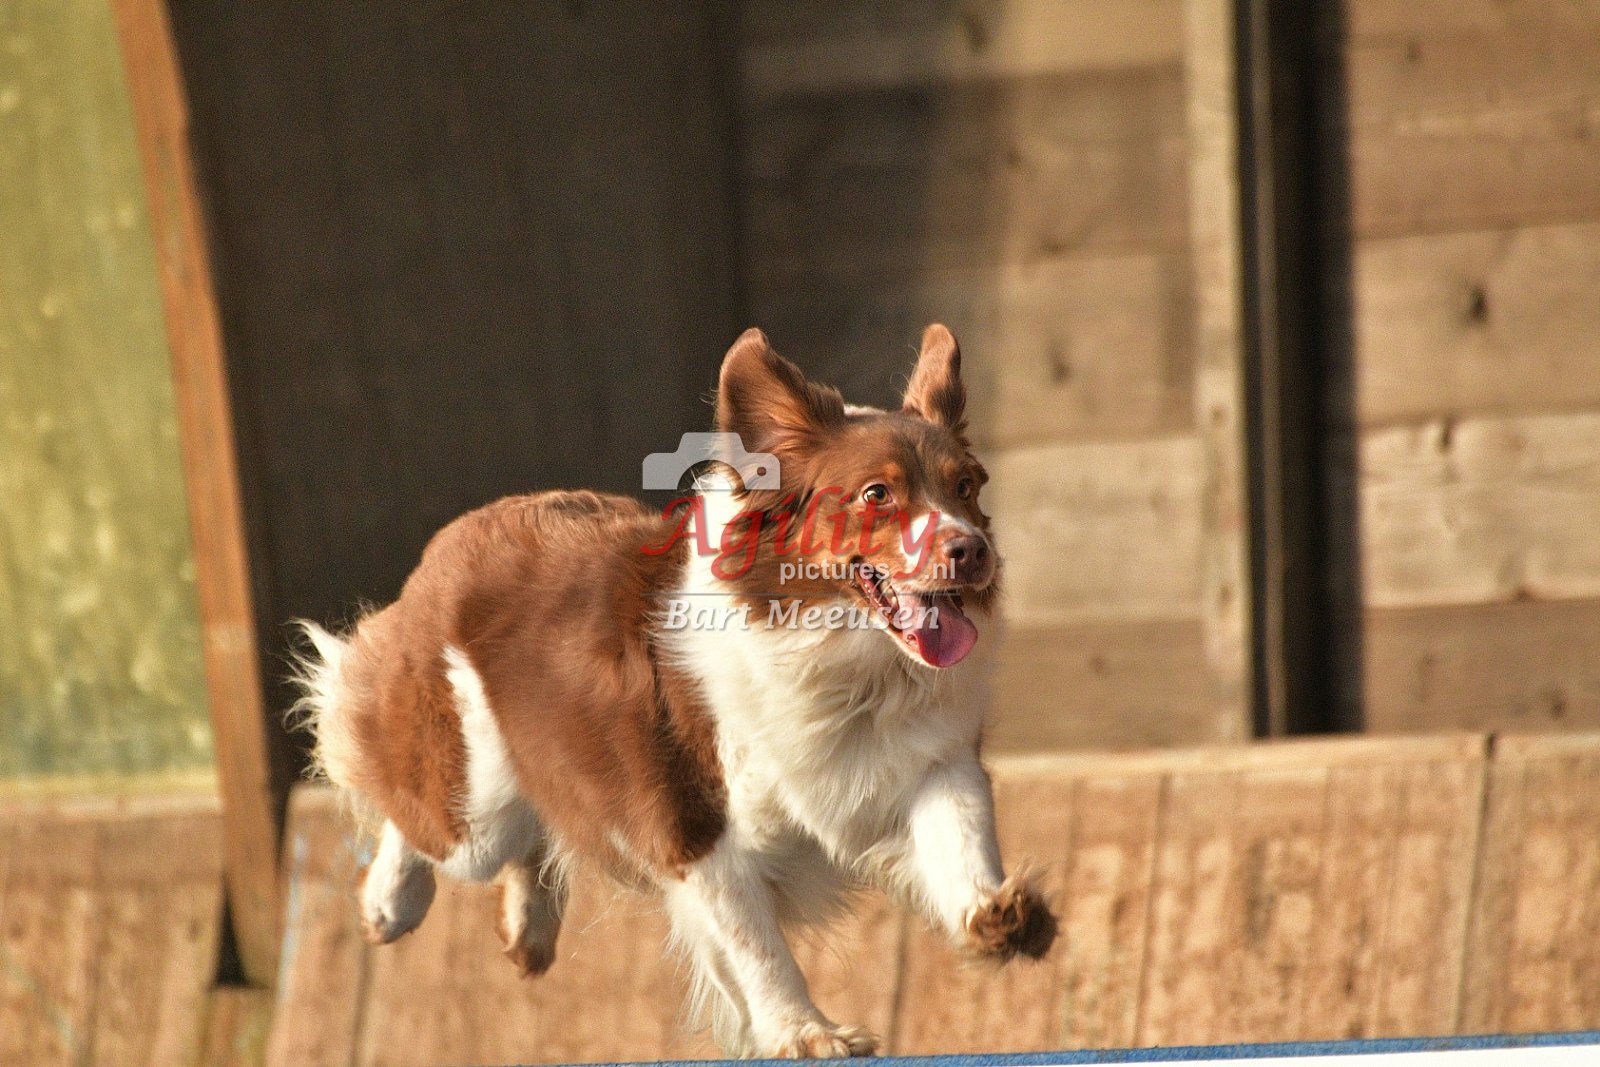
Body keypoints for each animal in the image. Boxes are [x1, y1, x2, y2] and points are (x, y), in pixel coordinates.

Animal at [291, 324, 1057, 1057]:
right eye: (877, 494)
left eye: (969, 487)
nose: (972, 551)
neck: (840, 655)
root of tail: (461, 531)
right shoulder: (697, 826)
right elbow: (757, 947)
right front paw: (806, 1032)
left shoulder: (930, 759)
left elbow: (962, 829)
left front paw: (996, 915)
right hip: (470, 805)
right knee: (412, 801)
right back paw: (390, 902)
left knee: (534, 826)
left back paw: (529, 923)